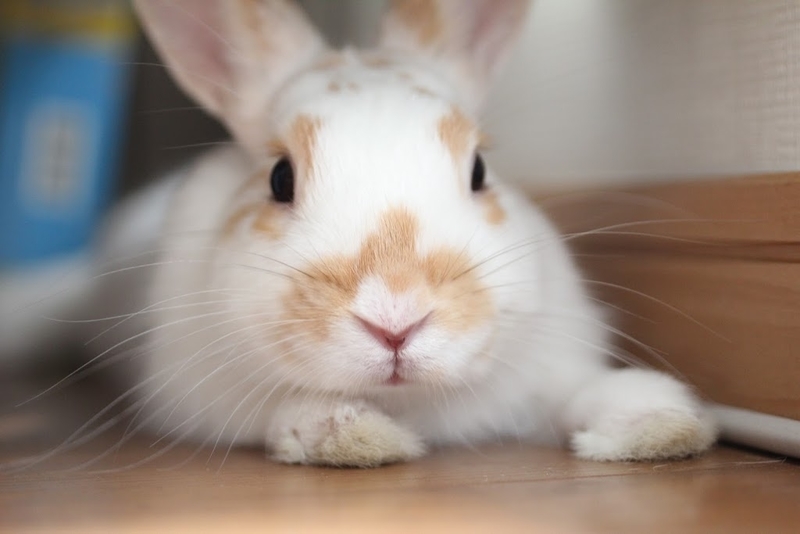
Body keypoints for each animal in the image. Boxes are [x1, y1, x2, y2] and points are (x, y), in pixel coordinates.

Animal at [108, 0, 717, 468]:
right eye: (280, 178)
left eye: (480, 171)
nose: (396, 320)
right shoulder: (198, 396)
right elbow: (285, 410)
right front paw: (356, 436)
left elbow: (580, 393)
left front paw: (660, 424)